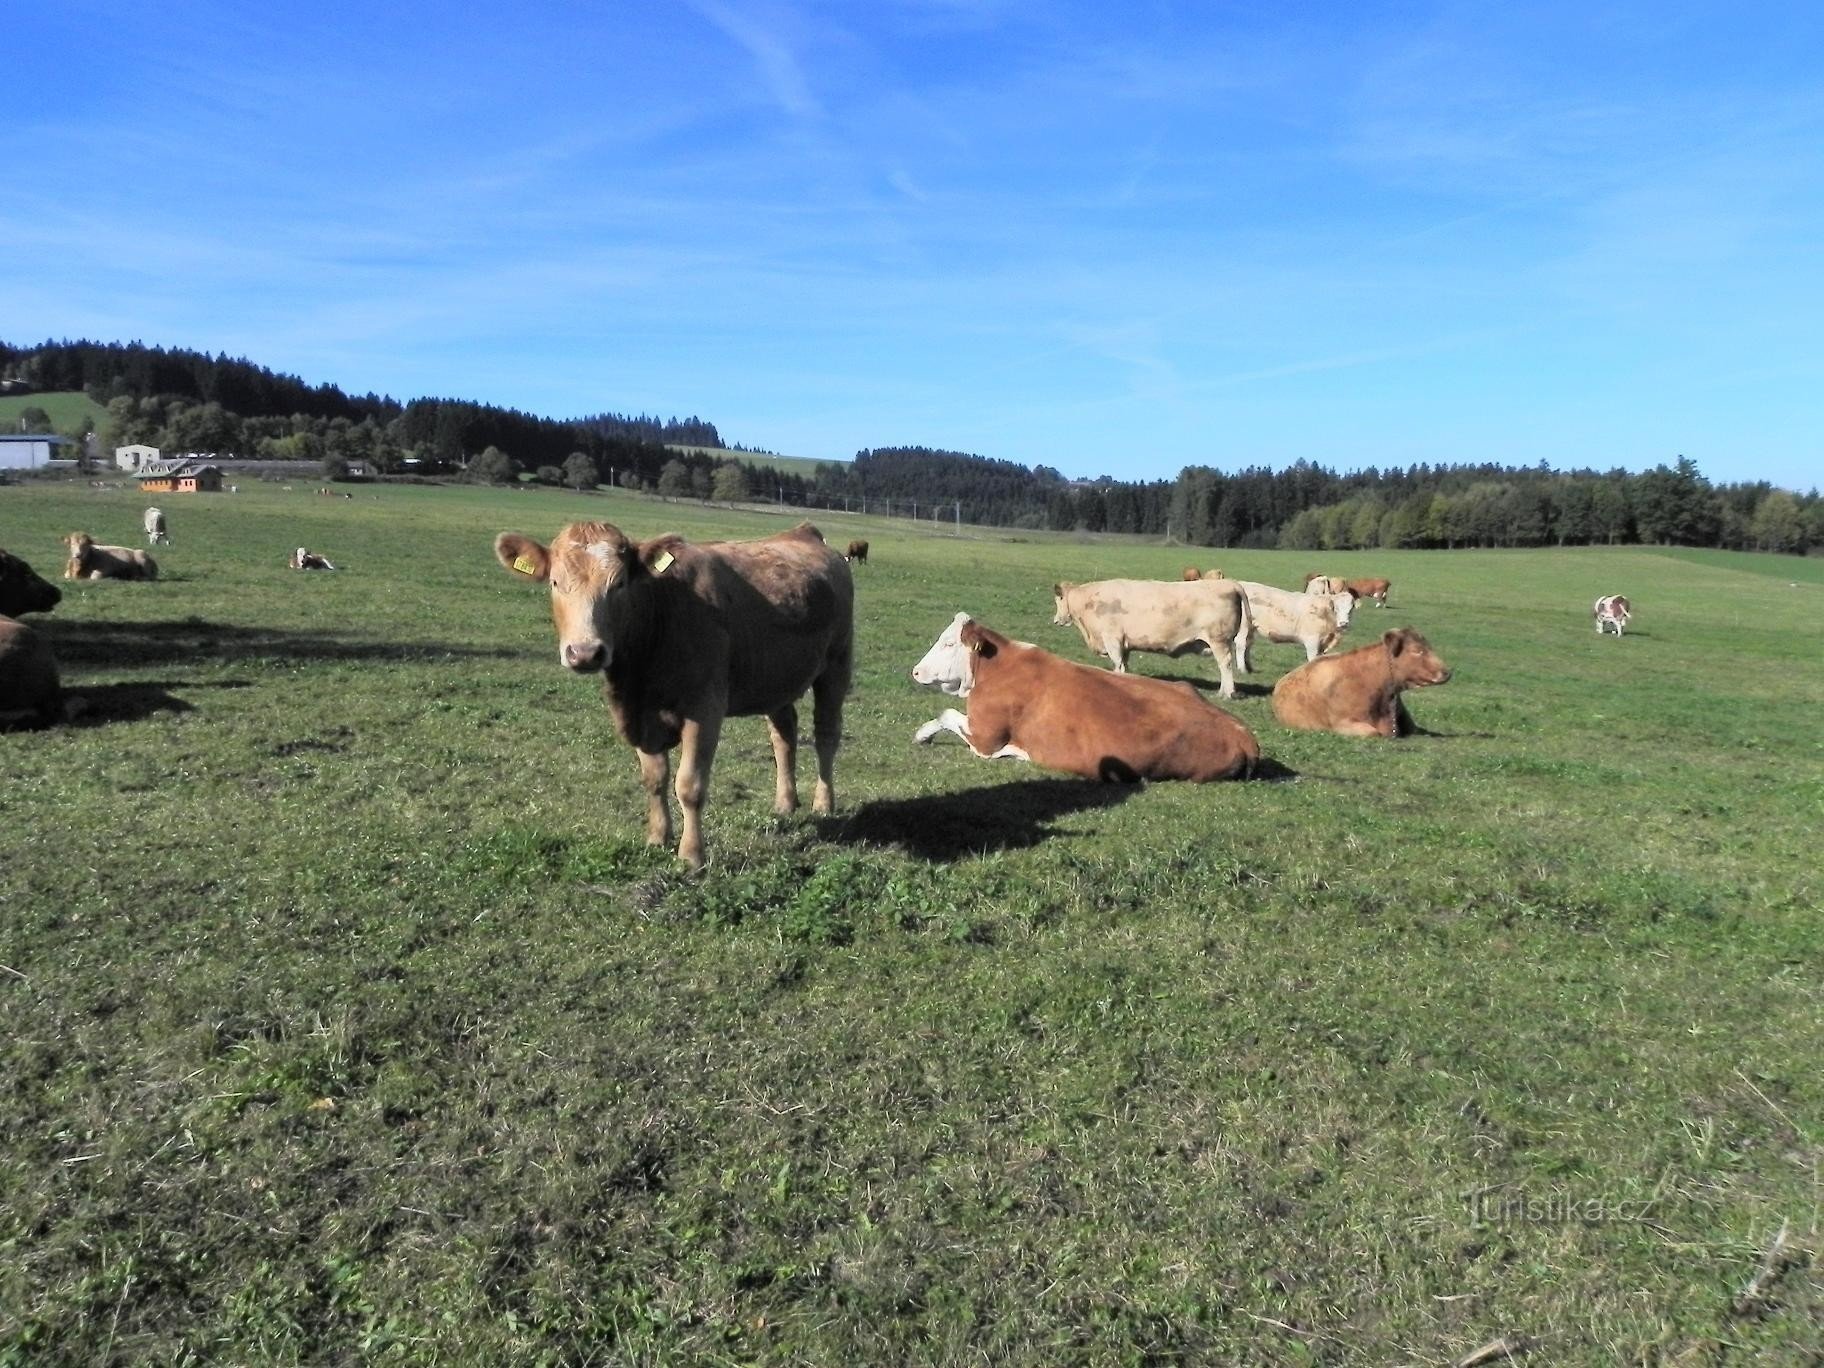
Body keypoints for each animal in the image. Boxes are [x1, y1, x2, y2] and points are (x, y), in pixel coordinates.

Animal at [908, 612, 1254, 780]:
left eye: (949, 643)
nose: (915, 671)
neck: (996, 665)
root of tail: (1241, 733)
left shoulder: (985, 737)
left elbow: (946, 715)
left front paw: (922, 734)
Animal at [1057, 576, 1254, 700]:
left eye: (1058, 599)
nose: (1056, 619)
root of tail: (1230, 584)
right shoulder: (1124, 643)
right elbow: (1124, 664)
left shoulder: (1112, 638)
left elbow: (1118, 664)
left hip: (1218, 640)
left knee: (1225, 664)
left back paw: (1226, 693)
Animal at [1225, 580, 1357, 671]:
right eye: (1335, 608)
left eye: (1351, 609)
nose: (1344, 623)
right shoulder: (1312, 640)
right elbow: (1312, 658)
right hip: (1243, 626)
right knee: (1241, 643)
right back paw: (1242, 669)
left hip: (1251, 627)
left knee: (1249, 643)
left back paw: (1249, 668)